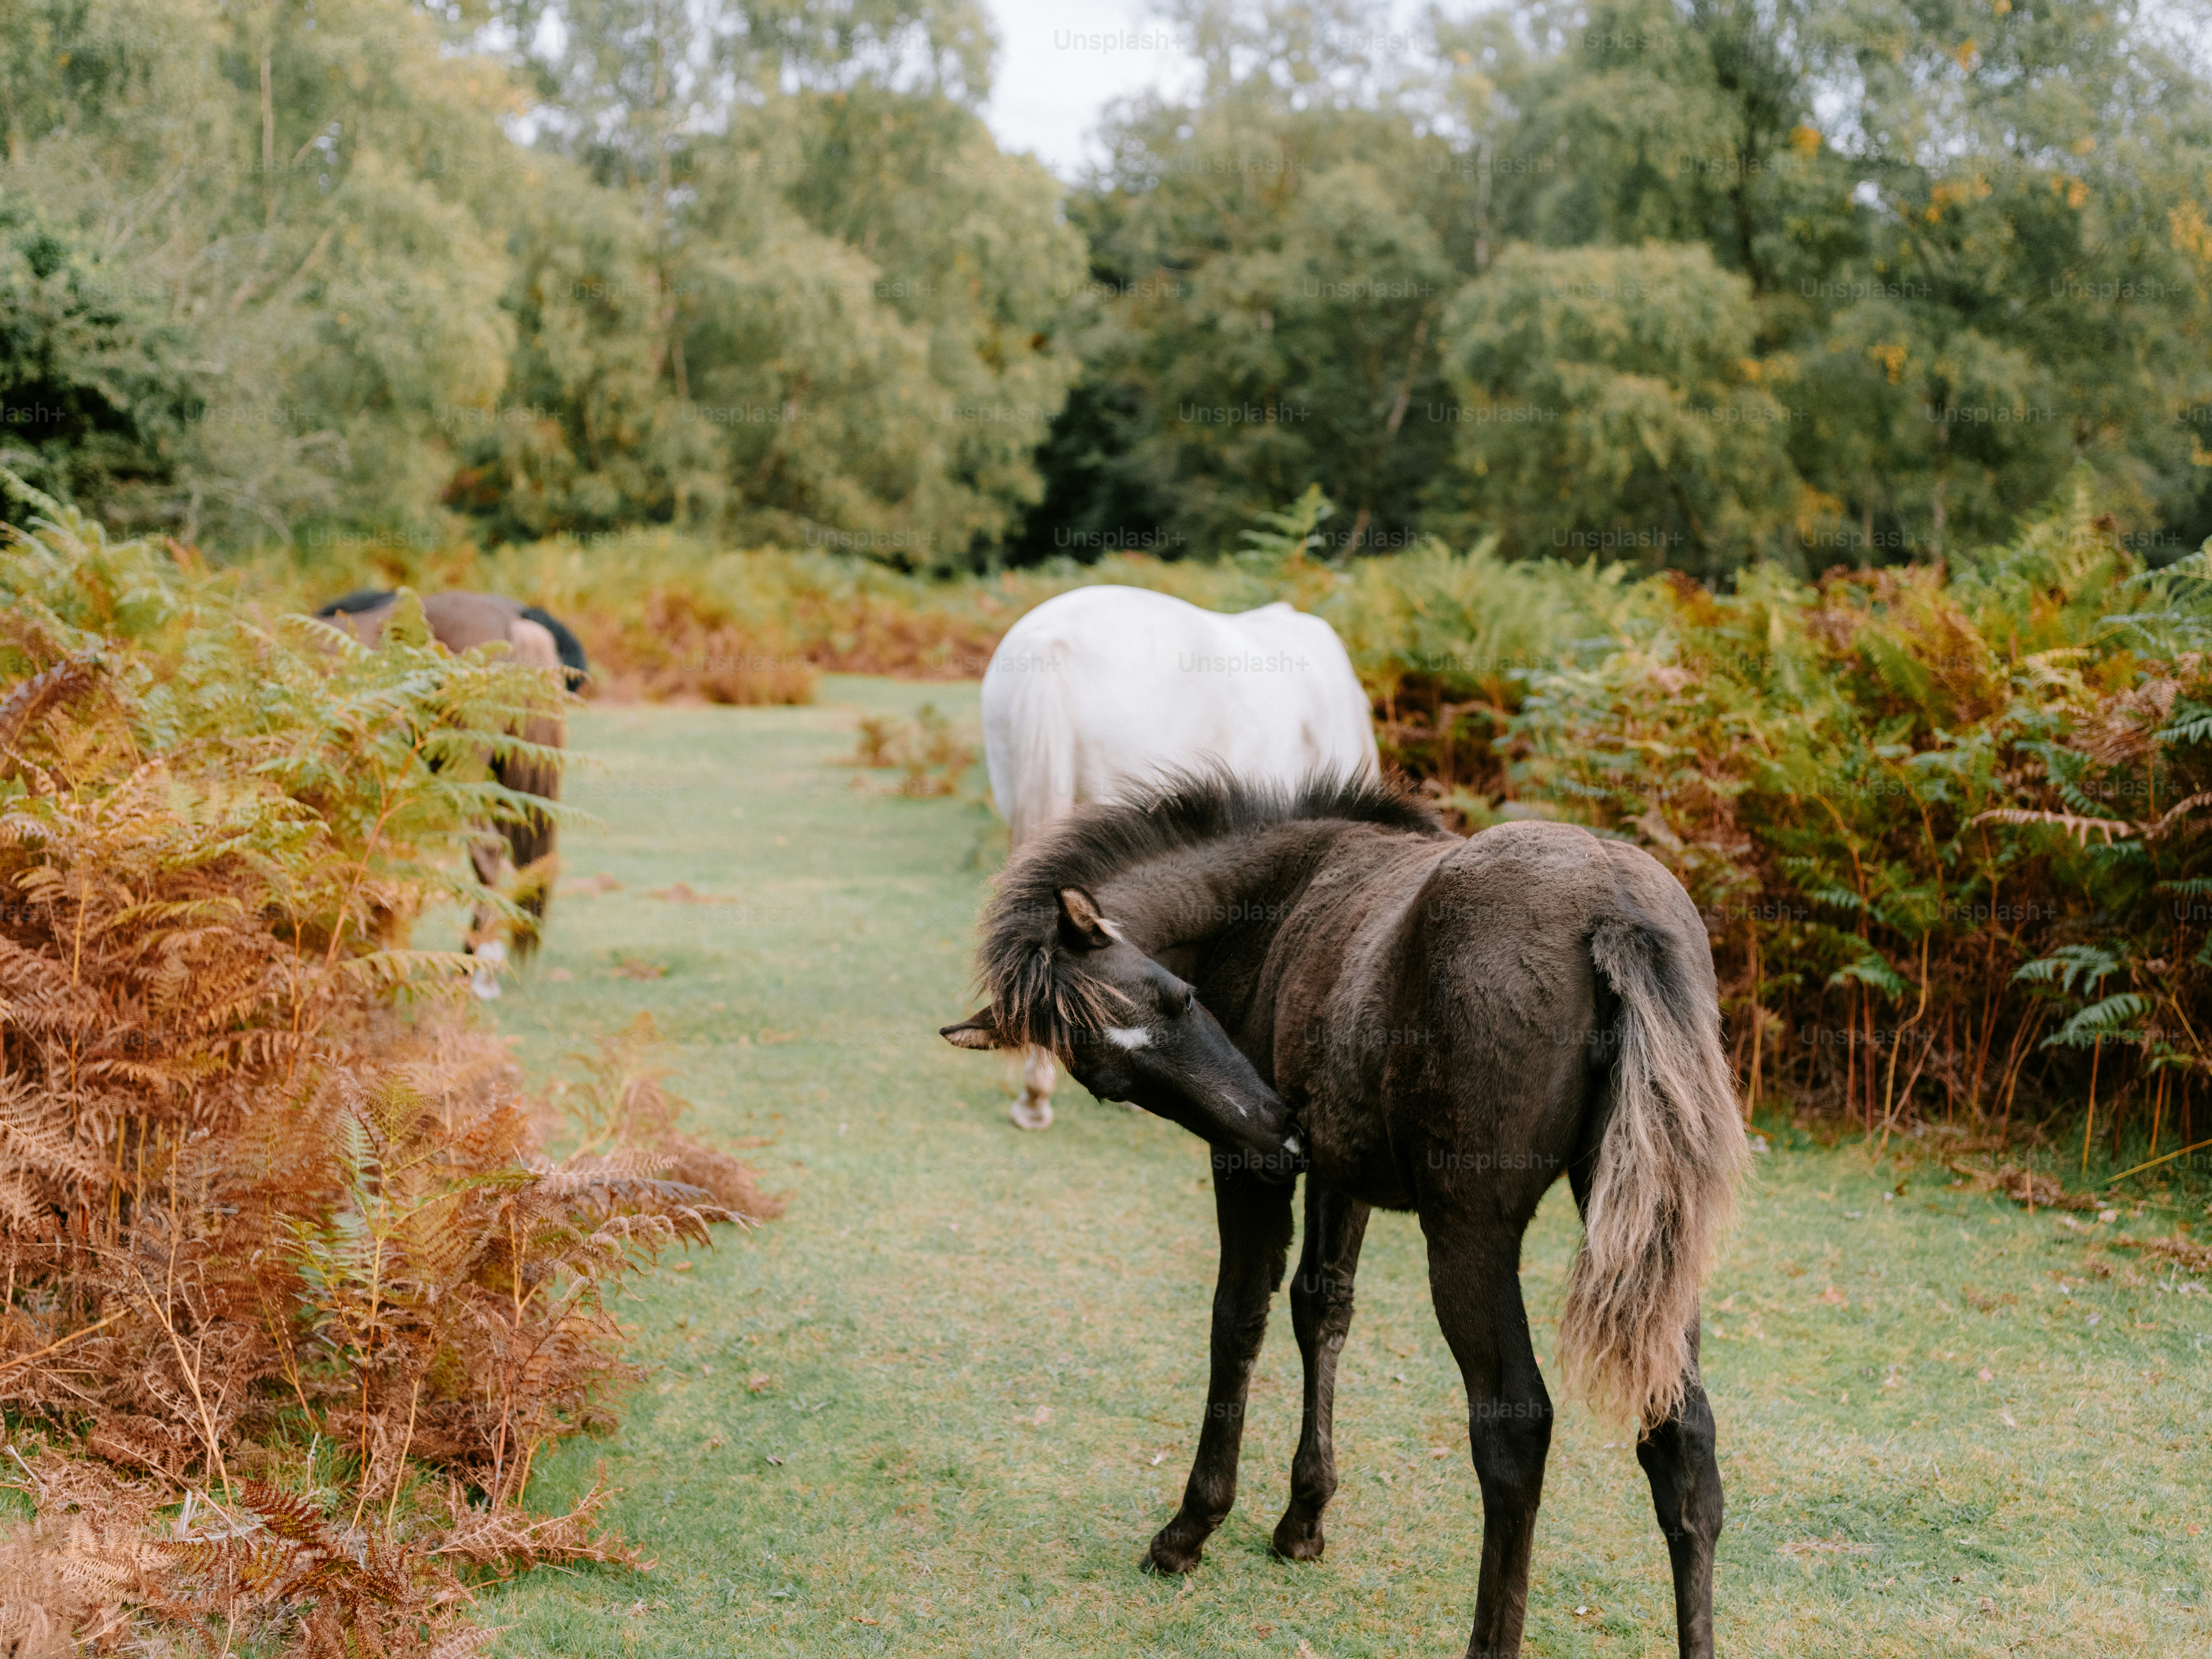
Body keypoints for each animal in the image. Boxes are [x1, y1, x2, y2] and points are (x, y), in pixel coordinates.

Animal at [940, 773, 1746, 1659]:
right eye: (1112, 1082)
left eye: (1179, 998)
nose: (1275, 1127)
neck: (1274, 894)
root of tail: (1612, 906)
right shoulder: (1334, 1171)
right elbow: (1321, 1309)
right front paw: (1303, 1519)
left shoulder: (1246, 1174)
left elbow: (1238, 1319)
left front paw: (1190, 1529)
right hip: (1653, 1236)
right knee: (1681, 1433)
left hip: (1469, 1229)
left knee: (1516, 1425)